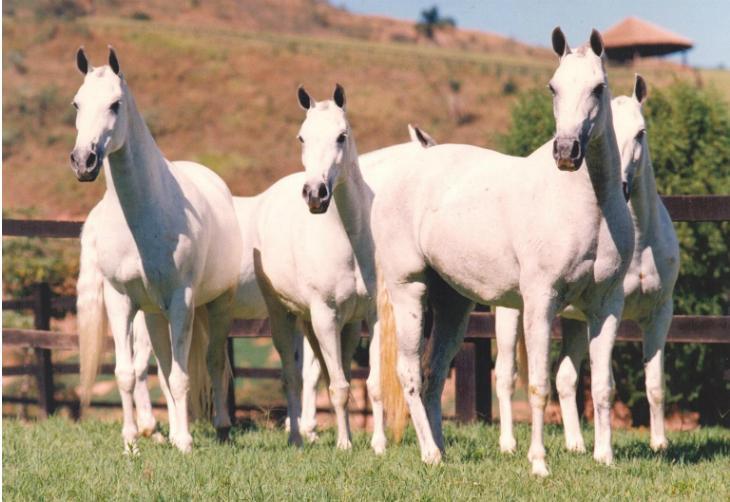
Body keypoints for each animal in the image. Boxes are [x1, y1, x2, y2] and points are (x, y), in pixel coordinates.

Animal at [73, 48, 240, 454]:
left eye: (115, 104)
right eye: (77, 104)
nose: (83, 161)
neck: (142, 218)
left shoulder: (182, 299)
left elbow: (182, 378)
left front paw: (186, 443)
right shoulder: (120, 300)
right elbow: (127, 374)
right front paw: (131, 442)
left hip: (217, 303)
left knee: (214, 364)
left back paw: (219, 429)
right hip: (152, 315)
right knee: (162, 369)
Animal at [372, 29, 636, 476]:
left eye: (598, 88)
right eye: (553, 87)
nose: (566, 152)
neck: (588, 206)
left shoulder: (606, 304)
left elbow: (602, 386)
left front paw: (606, 459)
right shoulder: (541, 302)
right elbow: (539, 386)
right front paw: (538, 463)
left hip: (453, 304)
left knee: (434, 373)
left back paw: (442, 450)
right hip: (409, 290)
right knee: (409, 373)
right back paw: (429, 453)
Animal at [492, 75, 680, 454]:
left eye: (641, 133)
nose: (621, 187)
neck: (640, 241)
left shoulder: (658, 312)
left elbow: (654, 385)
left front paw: (659, 445)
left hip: (574, 321)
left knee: (565, 378)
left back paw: (576, 444)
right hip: (511, 311)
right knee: (505, 375)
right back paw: (508, 443)